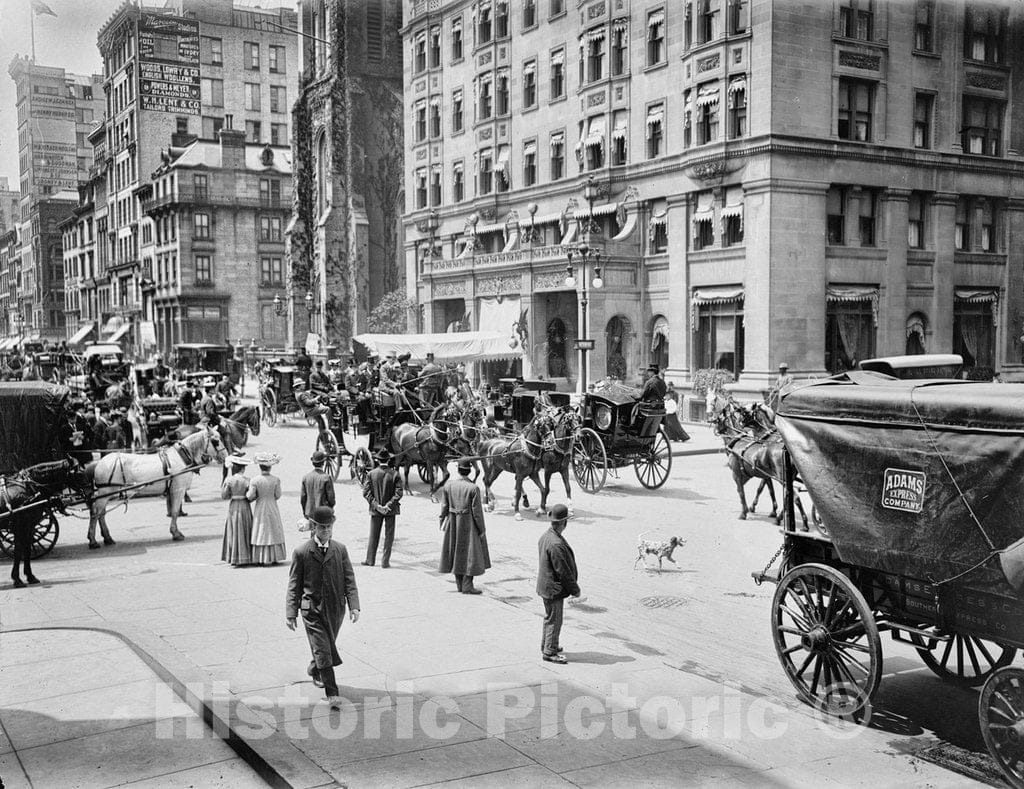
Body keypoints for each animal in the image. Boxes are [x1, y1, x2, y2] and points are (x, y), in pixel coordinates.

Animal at [86, 425, 226, 548]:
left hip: (106, 494)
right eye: (216, 441)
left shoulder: (171, 491)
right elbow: (175, 511)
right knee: (95, 513)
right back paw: (93, 540)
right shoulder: (178, 490)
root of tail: (99, 462)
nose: (225, 457)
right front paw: (176, 533)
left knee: (101, 514)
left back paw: (107, 538)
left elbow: (172, 510)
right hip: (105, 493)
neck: (182, 457)